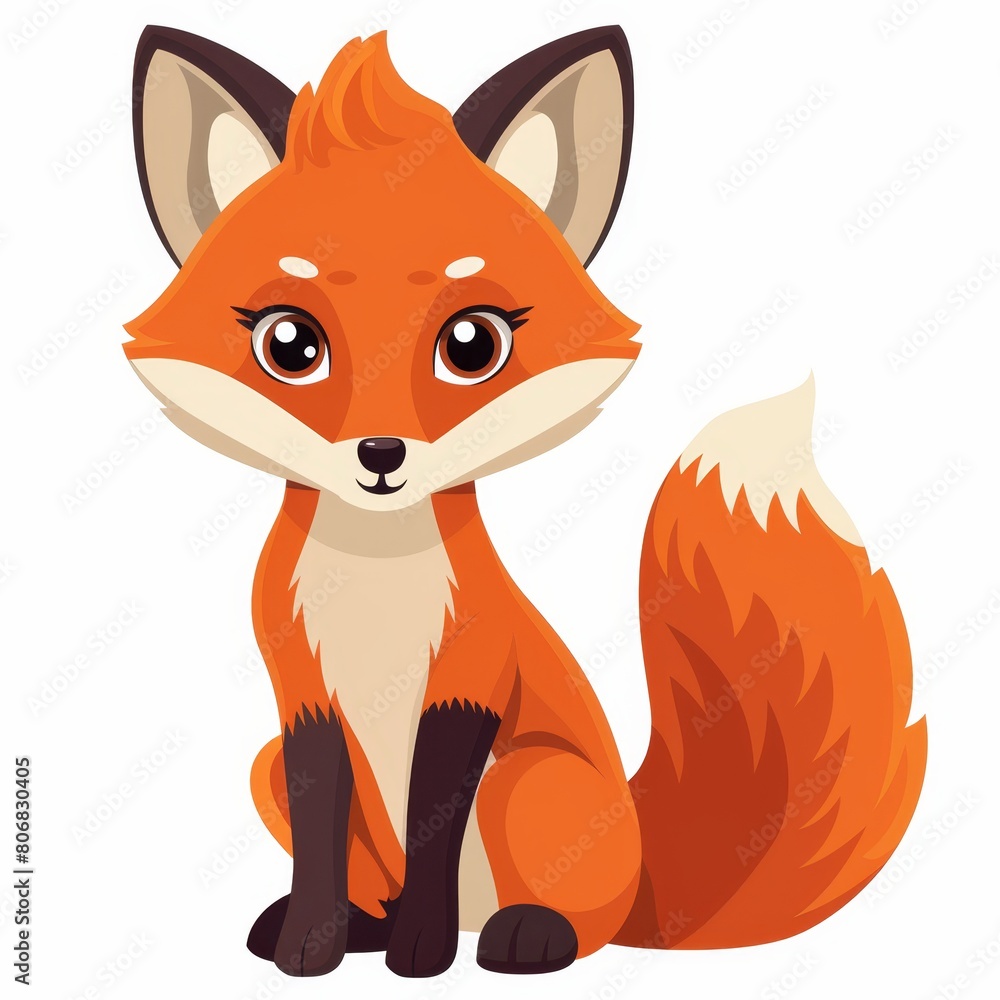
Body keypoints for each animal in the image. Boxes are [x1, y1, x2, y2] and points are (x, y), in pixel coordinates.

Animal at [123, 23, 927, 979]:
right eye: (291, 345)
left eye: (473, 344)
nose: (381, 455)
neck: (376, 587)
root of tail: (650, 871)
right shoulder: (302, 698)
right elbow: (320, 835)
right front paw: (311, 944)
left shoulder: (471, 676)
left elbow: (433, 819)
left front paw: (422, 955)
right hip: (266, 770)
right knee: (372, 877)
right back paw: (362, 926)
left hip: (528, 780)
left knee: (577, 919)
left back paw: (524, 935)